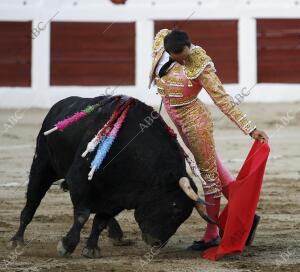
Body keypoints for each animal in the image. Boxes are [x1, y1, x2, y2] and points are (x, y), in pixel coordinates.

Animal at [9, 95, 202, 258]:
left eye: (184, 215)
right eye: (174, 206)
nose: (157, 243)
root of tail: (57, 107)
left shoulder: (117, 197)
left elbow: (100, 221)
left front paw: (91, 248)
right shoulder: (79, 180)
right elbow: (83, 215)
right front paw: (66, 246)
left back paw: (117, 235)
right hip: (42, 166)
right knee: (31, 203)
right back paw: (17, 241)